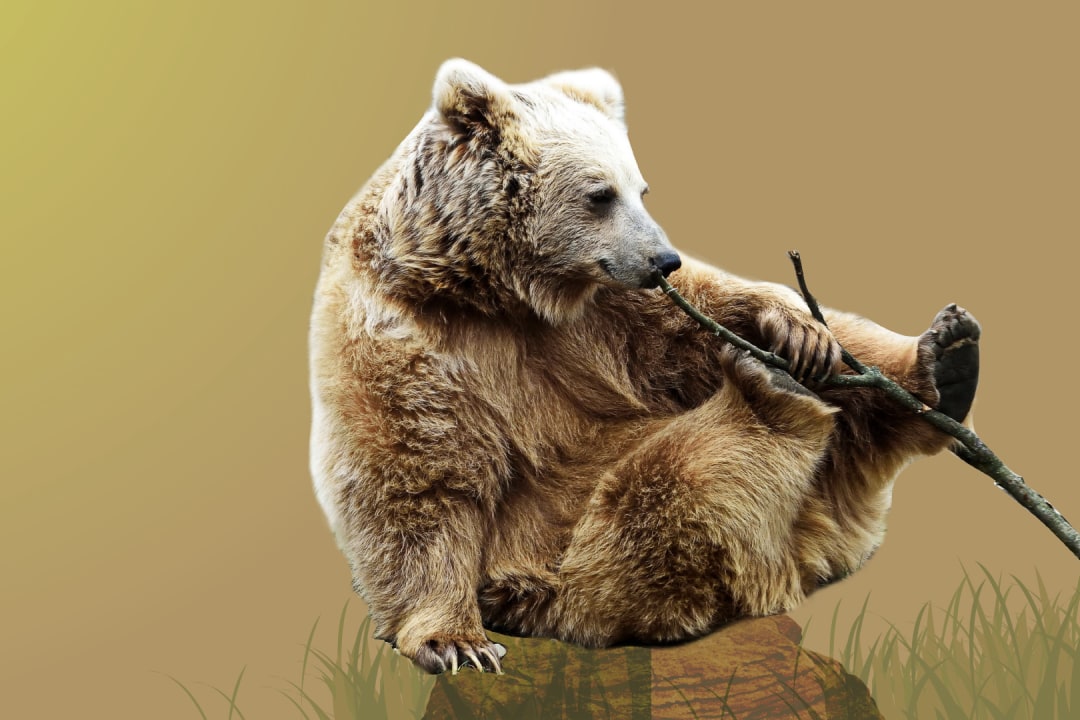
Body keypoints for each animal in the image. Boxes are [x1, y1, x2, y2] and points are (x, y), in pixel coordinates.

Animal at [308, 59, 980, 675]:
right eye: (600, 194)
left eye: (641, 188)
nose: (664, 258)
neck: (503, 292)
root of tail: (795, 556)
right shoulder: (406, 335)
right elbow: (417, 476)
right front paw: (455, 641)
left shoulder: (604, 317)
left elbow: (696, 326)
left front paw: (791, 325)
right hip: (554, 564)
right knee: (662, 507)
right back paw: (770, 397)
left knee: (848, 361)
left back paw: (941, 362)